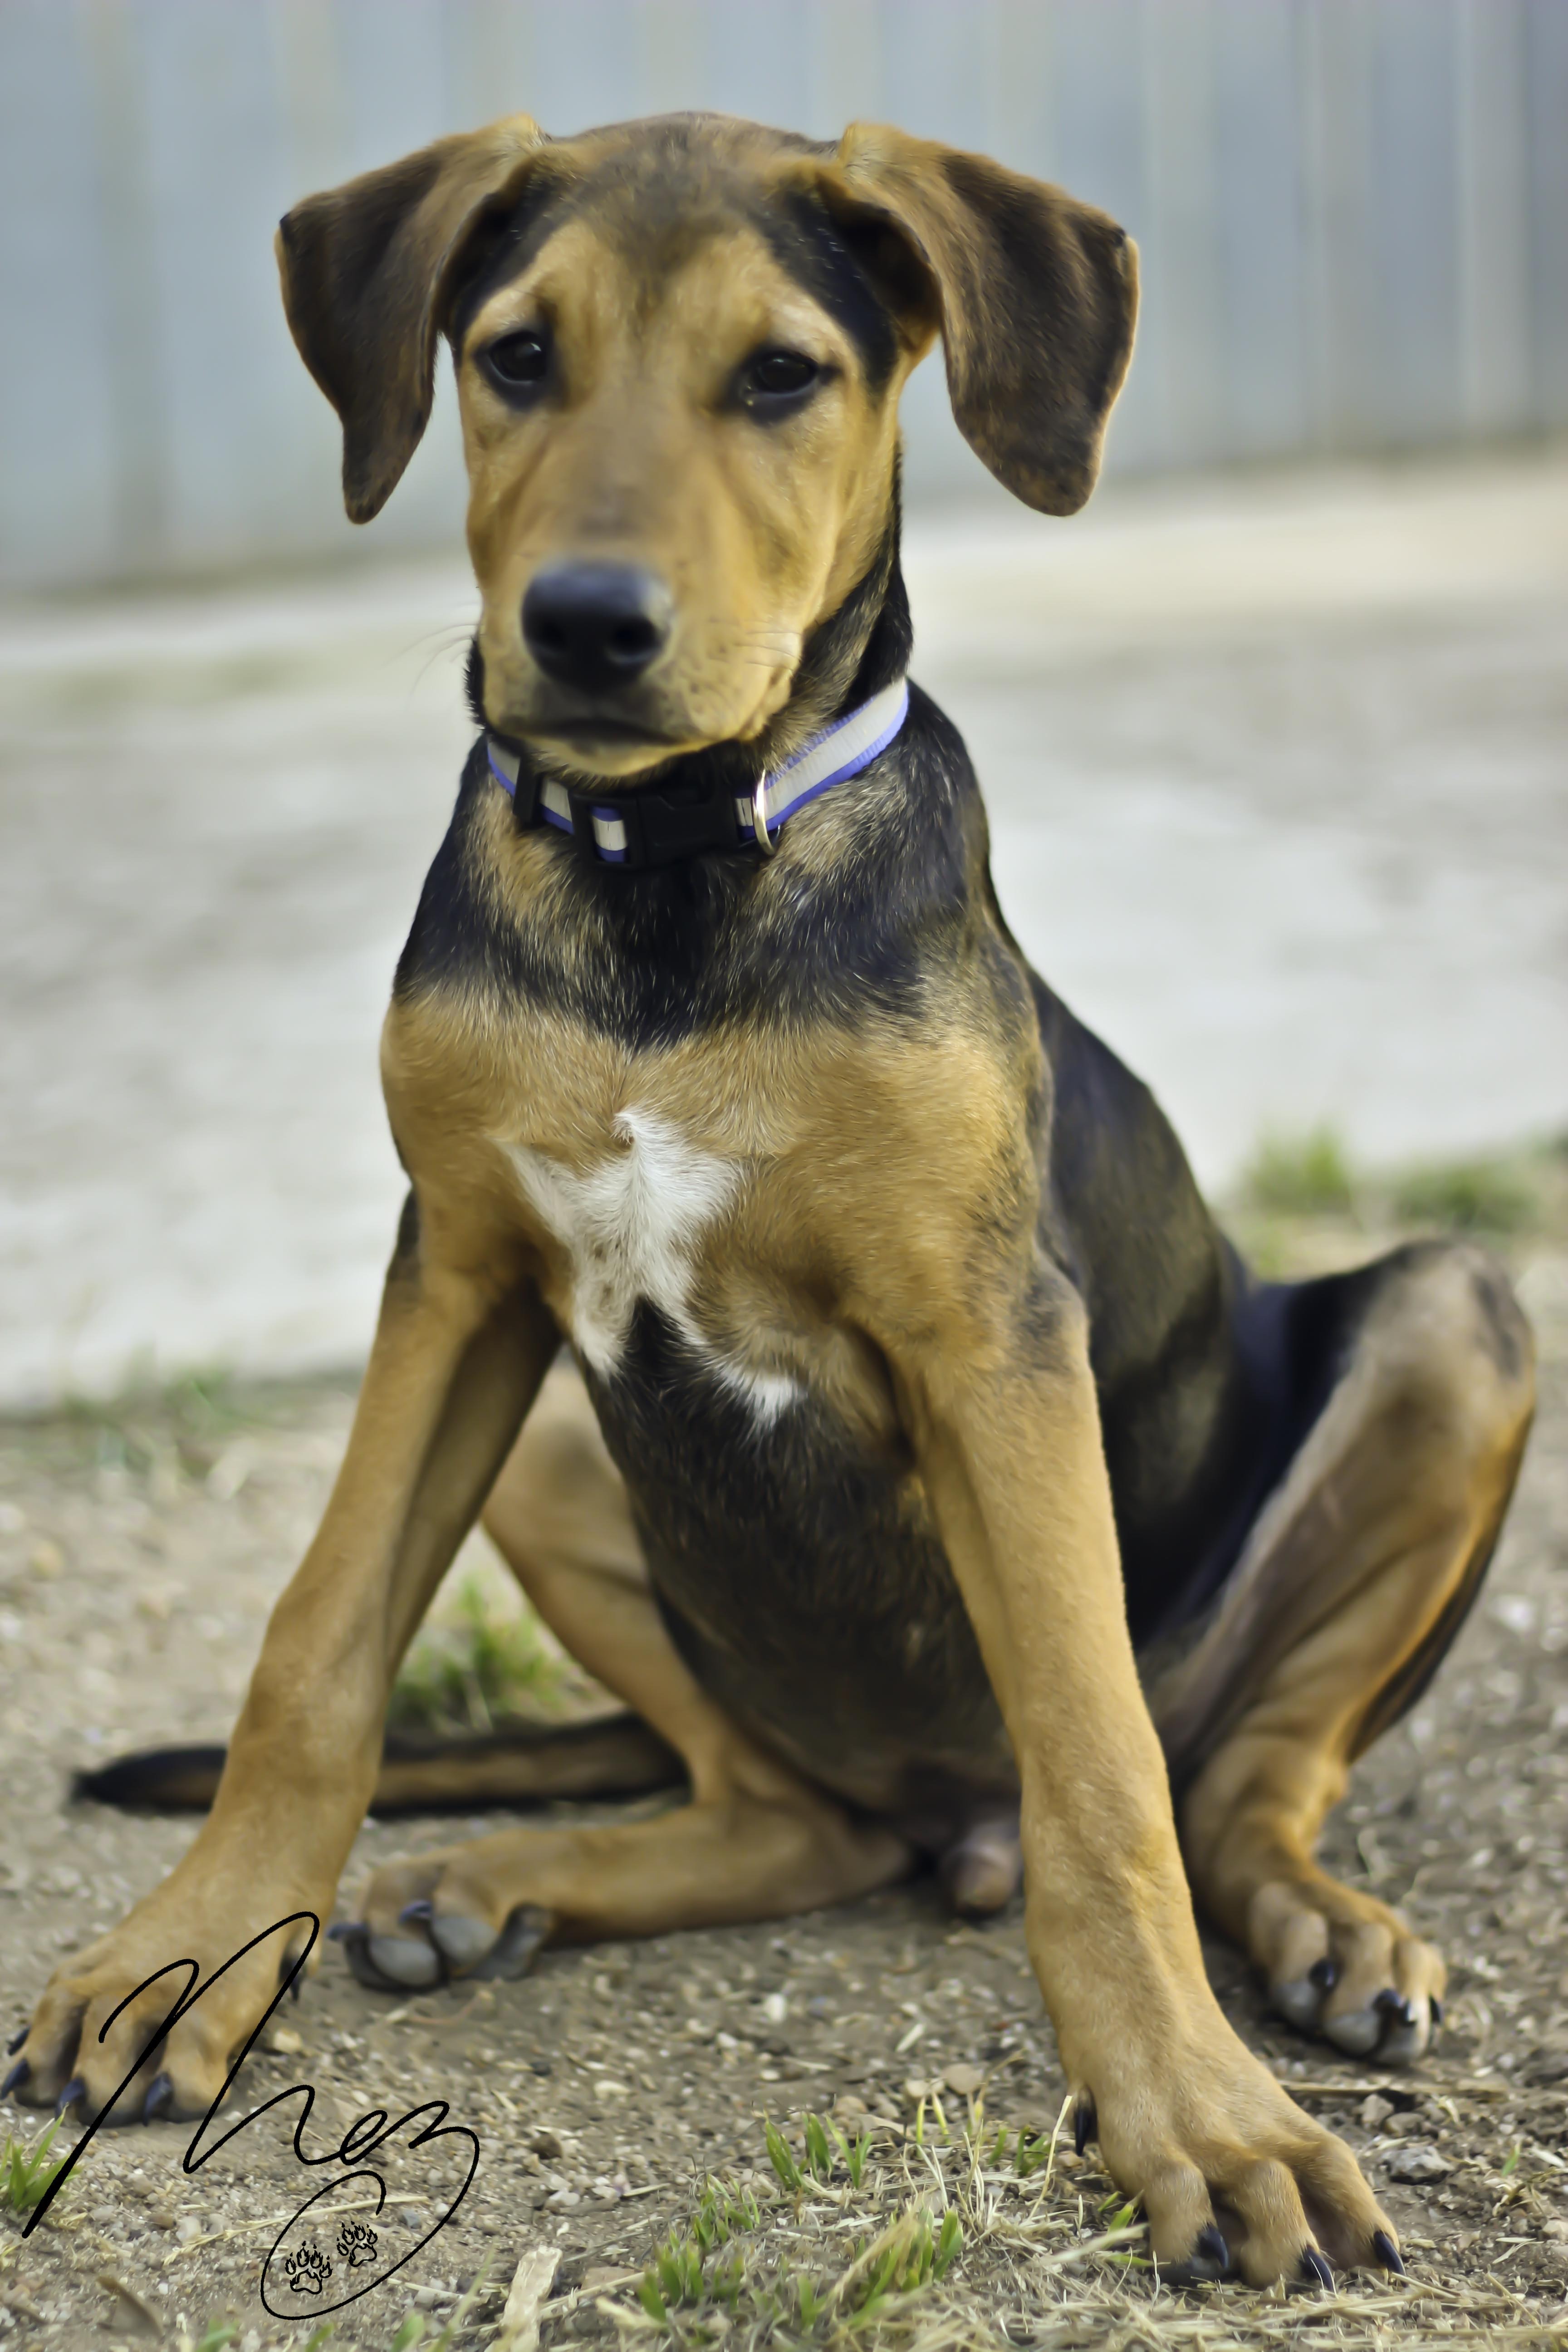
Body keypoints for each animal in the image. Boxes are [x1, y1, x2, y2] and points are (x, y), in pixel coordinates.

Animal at [6, 112, 1534, 2288]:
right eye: (518, 353)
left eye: (782, 376)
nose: (583, 623)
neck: (671, 878)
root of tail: (932, 1810)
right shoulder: (454, 1275)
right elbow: (313, 1642)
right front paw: (189, 1957)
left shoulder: (992, 1337)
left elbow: (1099, 1777)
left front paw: (1197, 2117)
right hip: (574, 1438)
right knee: (790, 1814)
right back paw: (497, 1881)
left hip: (1451, 1318)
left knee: (1232, 1776)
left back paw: (1319, 1936)